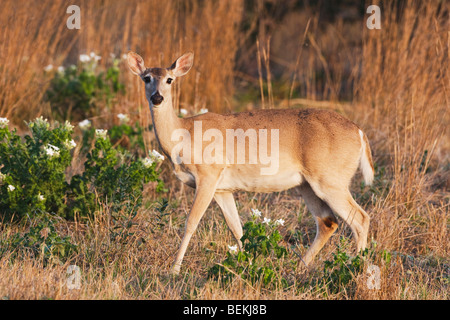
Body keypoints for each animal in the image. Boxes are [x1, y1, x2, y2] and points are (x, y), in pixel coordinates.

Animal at [127, 51, 376, 274]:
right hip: (306, 185)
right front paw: (248, 265)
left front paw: (174, 270)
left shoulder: (208, 176)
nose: (157, 97)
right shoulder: (223, 189)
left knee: (360, 218)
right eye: (146, 78)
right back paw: (298, 268)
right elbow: (237, 229)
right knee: (328, 222)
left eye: (170, 79)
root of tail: (359, 132)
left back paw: (356, 268)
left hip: (330, 179)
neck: (183, 134)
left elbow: (191, 222)